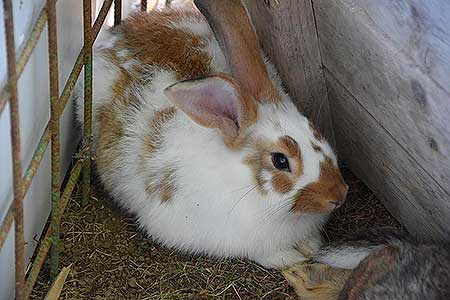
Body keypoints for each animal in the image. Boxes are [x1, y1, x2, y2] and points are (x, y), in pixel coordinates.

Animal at [75, 0, 346, 268]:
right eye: (280, 161)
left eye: (314, 129)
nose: (339, 195)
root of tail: (115, 33)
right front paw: (291, 258)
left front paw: (311, 246)